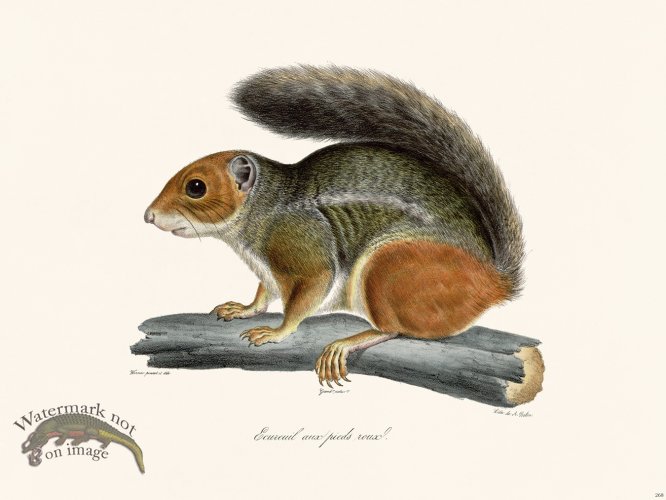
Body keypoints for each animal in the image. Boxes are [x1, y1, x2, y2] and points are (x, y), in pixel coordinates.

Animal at [144, 65, 524, 387]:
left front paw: (277, 332)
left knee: (395, 329)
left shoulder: (304, 251)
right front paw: (244, 309)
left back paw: (350, 341)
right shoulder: (267, 270)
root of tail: (492, 280)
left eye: (196, 187)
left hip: (389, 269)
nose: (148, 216)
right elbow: (264, 293)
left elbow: (305, 296)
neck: (265, 209)